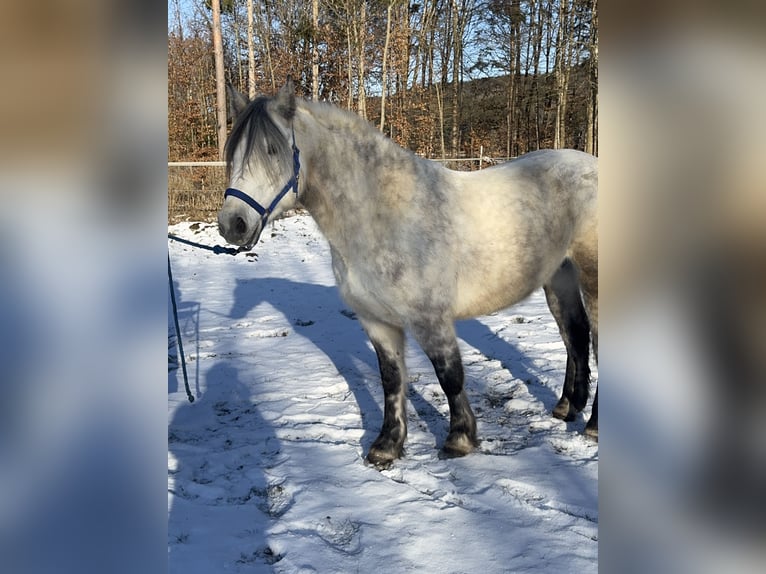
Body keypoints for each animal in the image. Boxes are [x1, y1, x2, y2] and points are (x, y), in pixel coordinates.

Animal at [218, 80, 598, 468]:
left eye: (272, 151)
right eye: (232, 153)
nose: (233, 224)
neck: (381, 215)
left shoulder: (430, 319)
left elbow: (449, 375)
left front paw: (459, 439)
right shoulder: (377, 321)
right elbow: (391, 380)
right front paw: (387, 445)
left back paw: (594, 427)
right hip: (559, 278)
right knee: (575, 335)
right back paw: (567, 407)